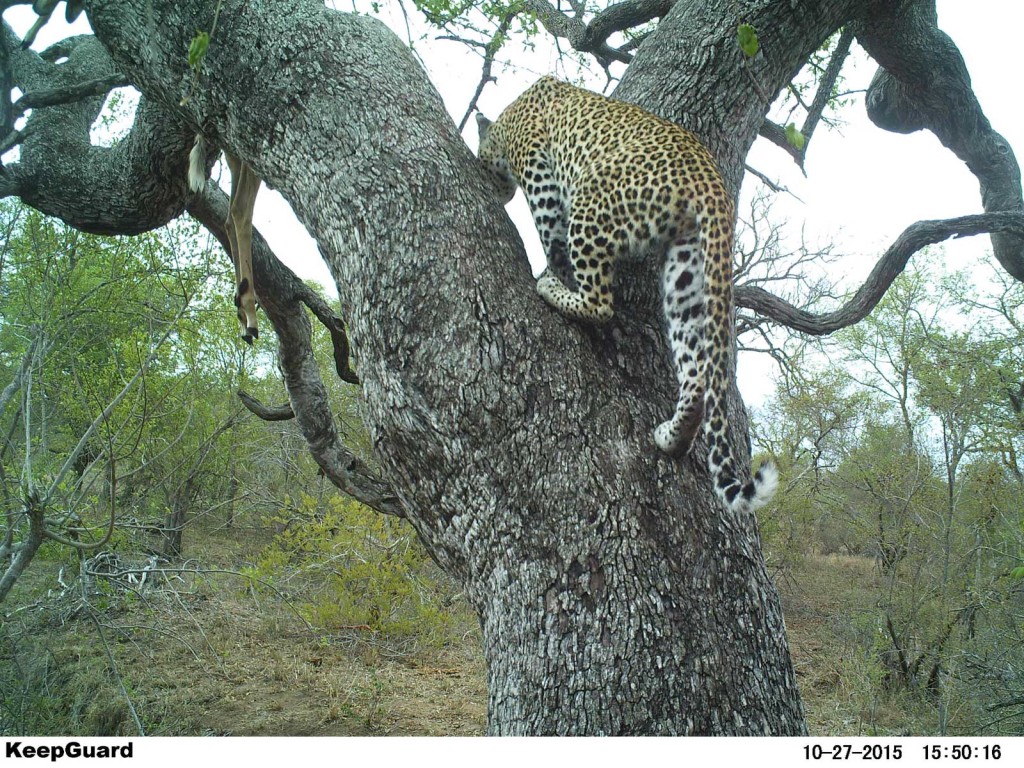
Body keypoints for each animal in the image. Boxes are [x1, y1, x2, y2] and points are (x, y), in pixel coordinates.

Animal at [477, 78, 774, 514]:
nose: (499, 194)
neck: (507, 117)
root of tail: (711, 178)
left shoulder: (537, 169)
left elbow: (551, 239)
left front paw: (550, 271)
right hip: (686, 268)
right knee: (697, 379)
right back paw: (672, 437)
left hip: (591, 200)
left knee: (600, 303)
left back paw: (553, 290)